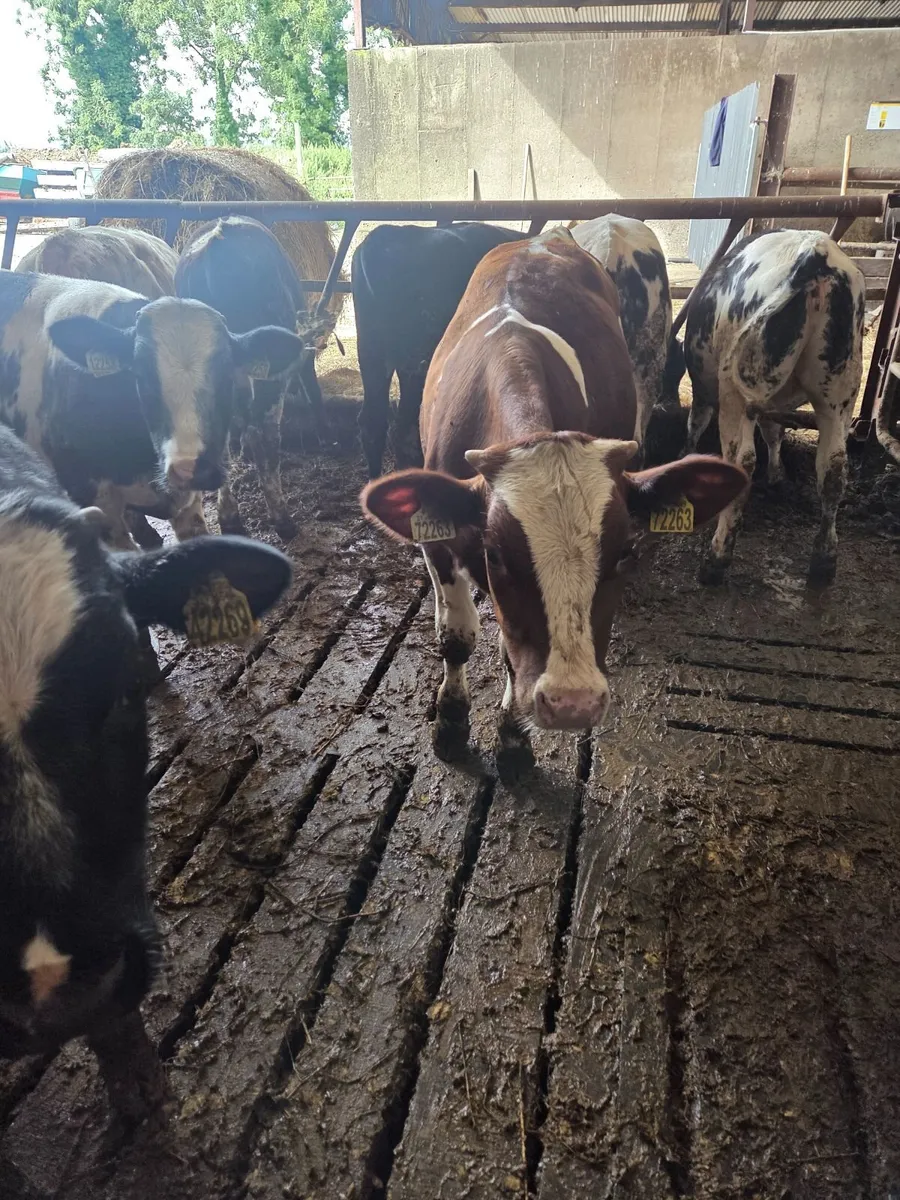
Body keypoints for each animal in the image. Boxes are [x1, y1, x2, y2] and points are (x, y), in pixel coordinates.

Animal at [682, 228, 866, 585]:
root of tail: (815, 252)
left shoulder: (705, 388)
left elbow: (695, 424)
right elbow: (775, 432)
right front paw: (777, 474)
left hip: (735, 391)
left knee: (741, 461)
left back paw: (716, 559)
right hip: (839, 395)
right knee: (834, 469)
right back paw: (824, 562)